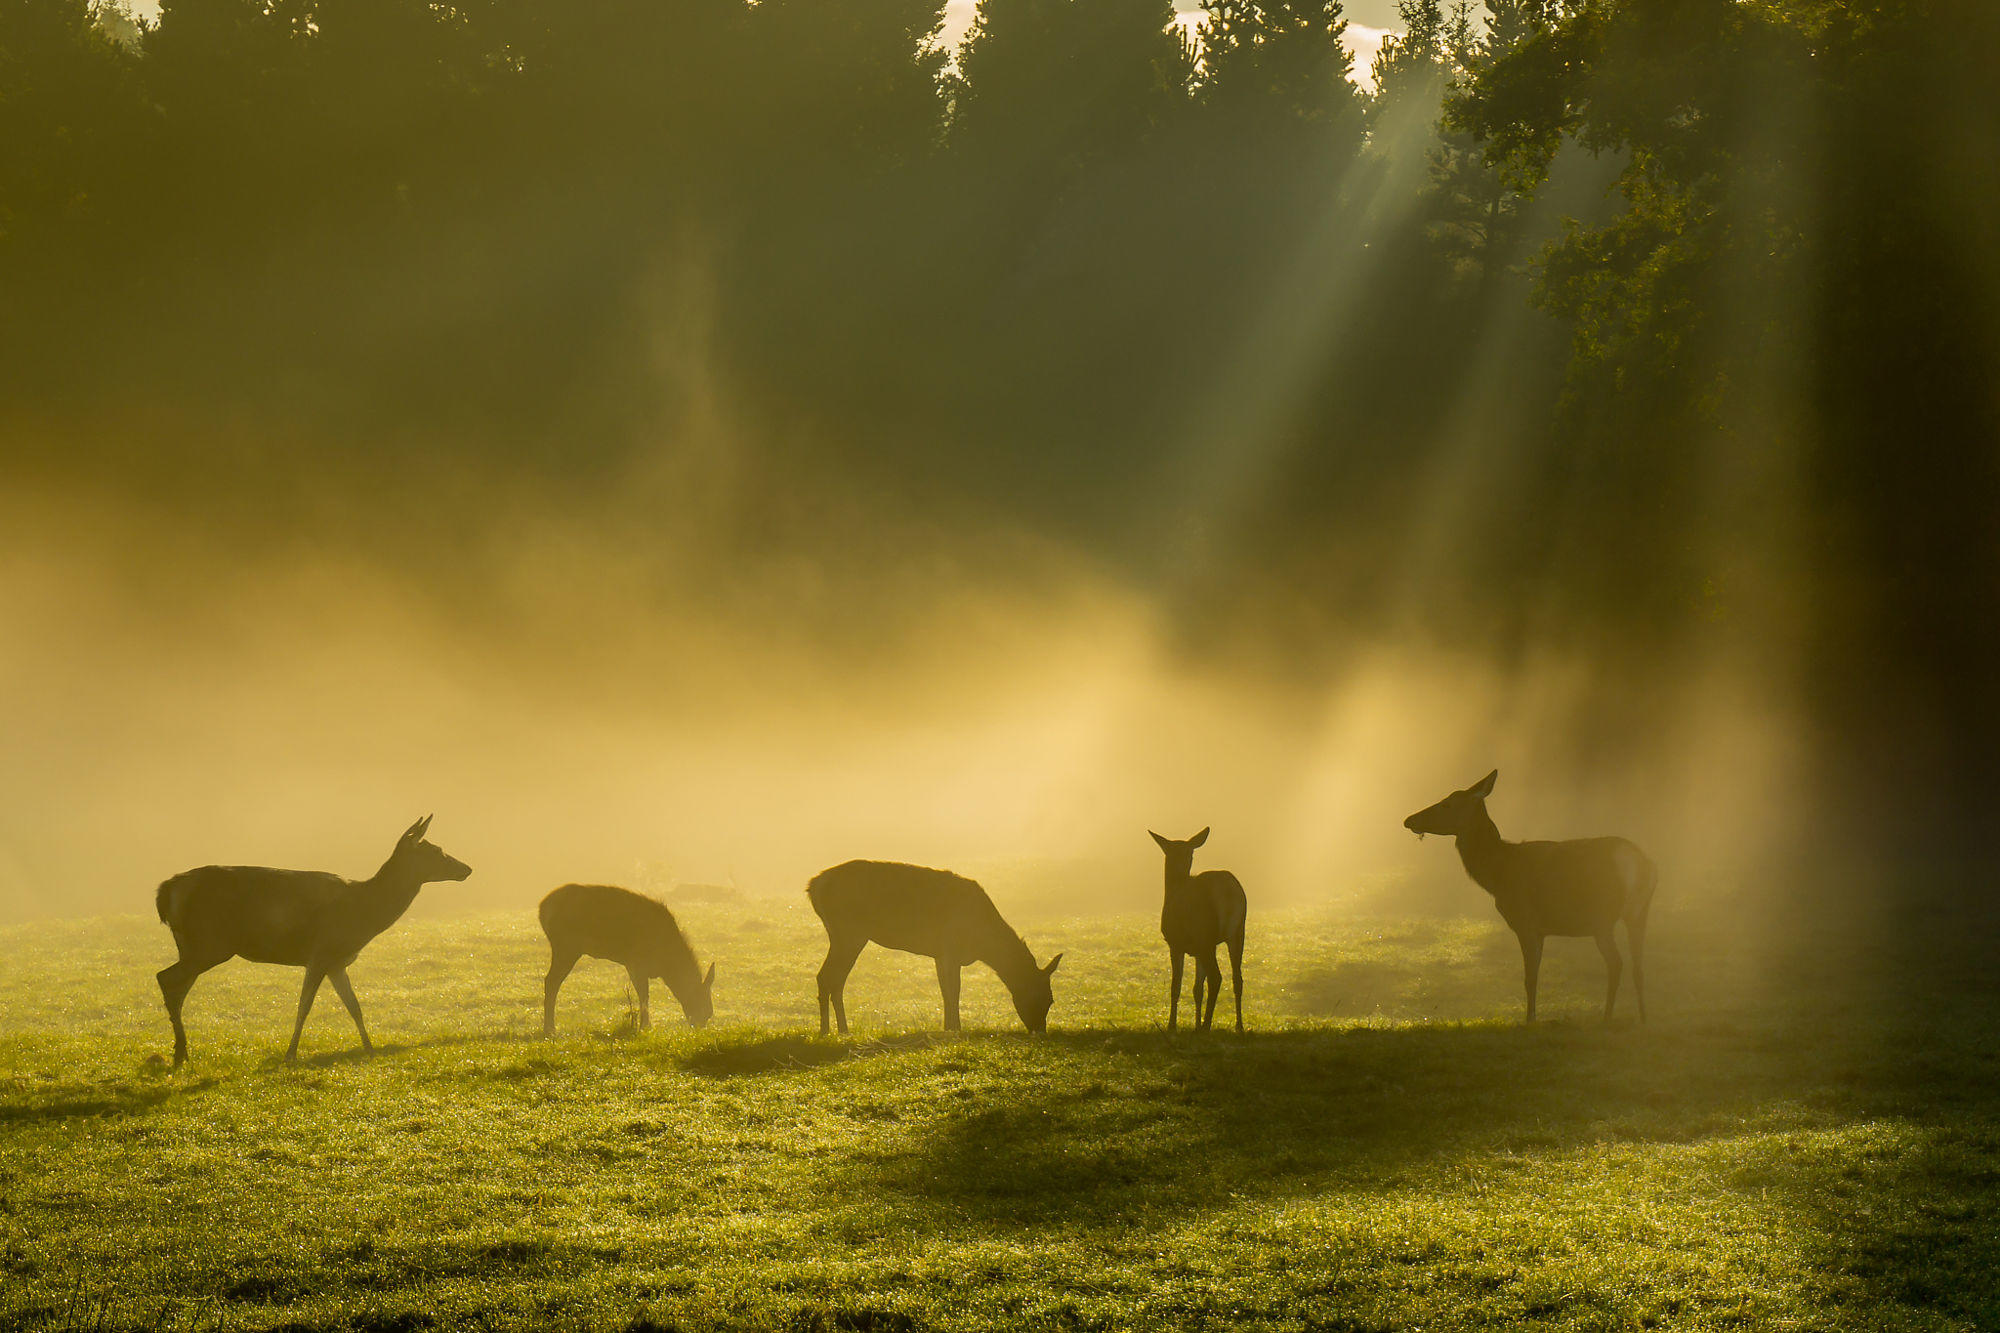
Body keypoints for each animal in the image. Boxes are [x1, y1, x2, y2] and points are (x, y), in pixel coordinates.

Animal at [153, 816, 472, 1064]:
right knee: (165, 978)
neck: (364, 912)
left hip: (193, 946)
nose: (467, 868)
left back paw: (180, 1051)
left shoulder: (337, 962)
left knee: (177, 986)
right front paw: (290, 1054)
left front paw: (370, 1049)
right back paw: (181, 1052)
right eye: (436, 851)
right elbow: (304, 1006)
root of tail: (167, 890)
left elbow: (355, 1006)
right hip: (209, 943)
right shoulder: (321, 952)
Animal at [536, 880, 716, 1040]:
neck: (667, 964)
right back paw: (550, 1029)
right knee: (551, 981)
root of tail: (542, 908)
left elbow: (641, 994)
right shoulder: (638, 961)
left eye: (709, 1013)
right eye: (705, 1009)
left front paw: (644, 1025)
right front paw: (645, 1027)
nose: (699, 1028)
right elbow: (644, 995)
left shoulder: (633, 964)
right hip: (567, 947)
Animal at [808, 856, 1072, 1032]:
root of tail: (813, 886)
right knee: (828, 977)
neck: (983, 942)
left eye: (1050, 1000)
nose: (1039, 1030)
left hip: (844, 934)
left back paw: (840, 1030)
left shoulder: (939, 953)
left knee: (833, 978)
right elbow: (954, 990)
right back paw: (829, 1031)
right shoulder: (951, 947)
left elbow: (944, 990)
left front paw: (947, 1027)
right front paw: (956, 1028)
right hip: (848, 932)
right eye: (1044, 997)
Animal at [1152, 824, 1240, 1032]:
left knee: (1216, 977)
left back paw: (1207, 1026)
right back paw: (1238, 1026)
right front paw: (1195, 1024)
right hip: (1237, 931)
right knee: (1237, 978)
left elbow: (1176, 986)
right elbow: (1197, 989)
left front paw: (1172, 1026)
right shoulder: (1198, 950)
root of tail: (1228, 892)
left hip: (1205, 934)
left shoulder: (1175, 943)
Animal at [1400, 768, 1664, 1016]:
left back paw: (1607, 1017)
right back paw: (1643, 1018)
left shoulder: (1526, 921)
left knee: (1616, 963)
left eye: (1447, 803)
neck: (1498, 874)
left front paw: (1530, 1019)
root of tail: (1640, 863)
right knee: (1638, 967)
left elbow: (1530, 978)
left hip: (1602, 915)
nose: (1409, 819)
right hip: (1639, 912)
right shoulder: (1541, 930)